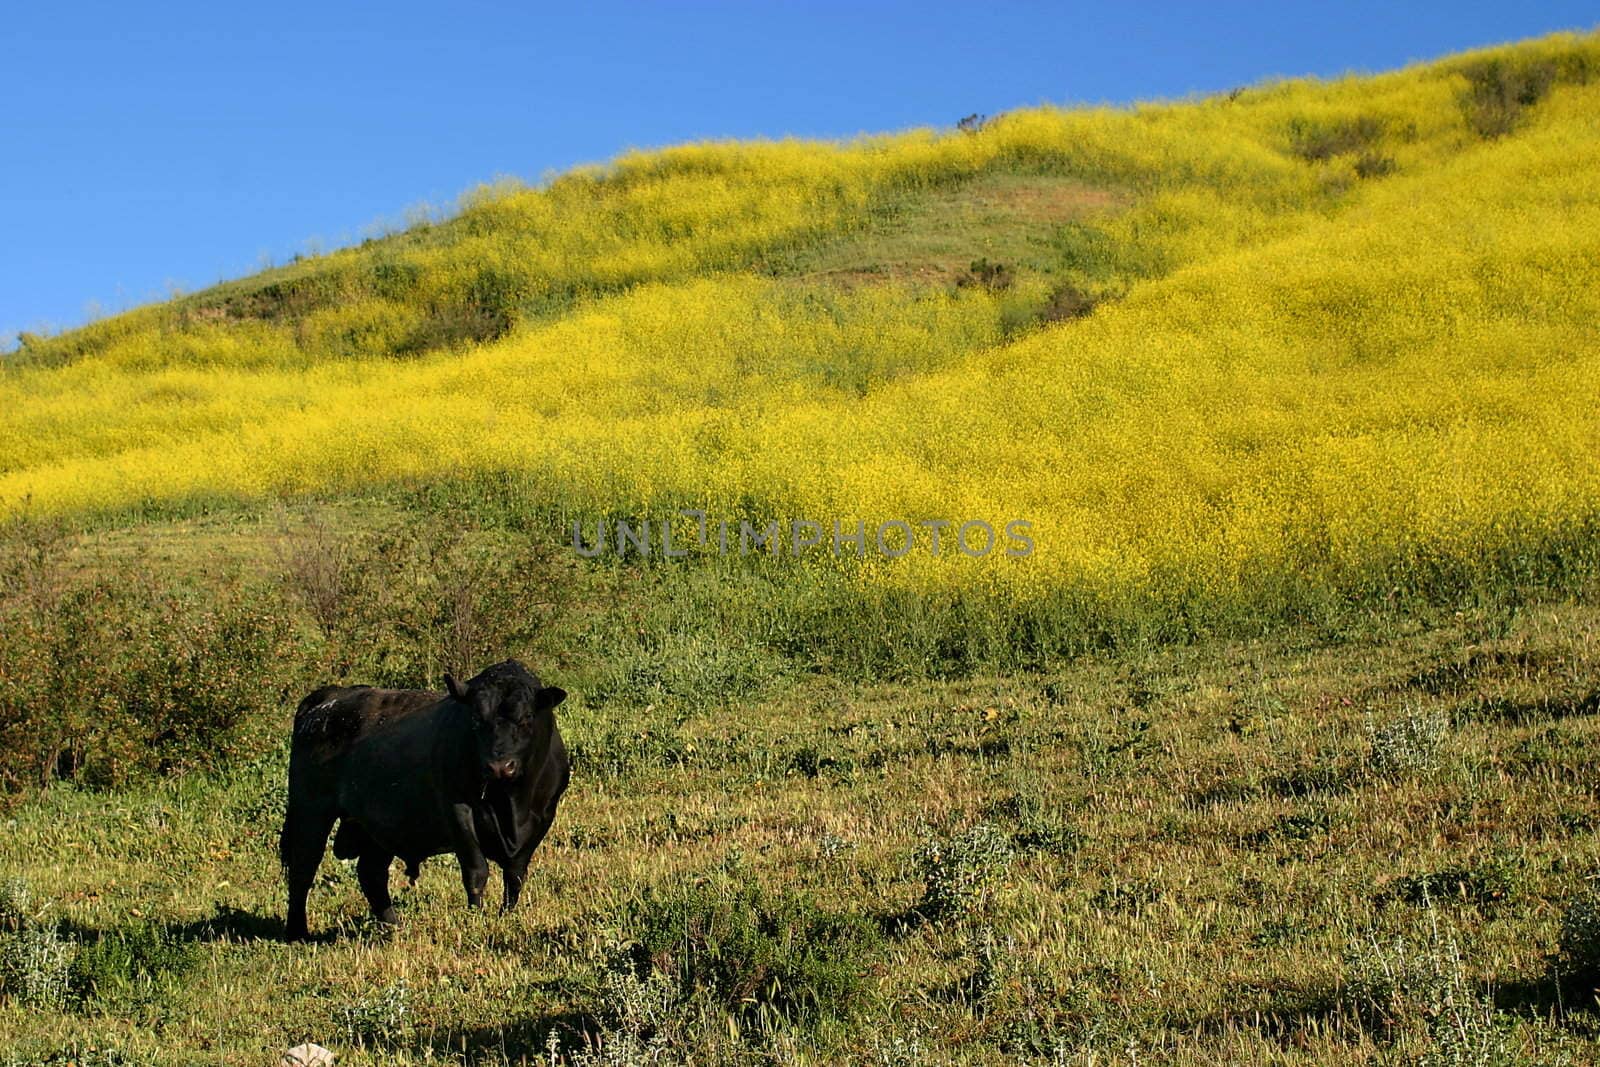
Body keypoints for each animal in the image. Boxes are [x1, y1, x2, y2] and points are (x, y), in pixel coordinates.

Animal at [280, 659, 569, 940]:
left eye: (527, 717)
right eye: (475, 719)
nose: (499, 766)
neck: (510, 804)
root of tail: (332, 696)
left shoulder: (543, 817)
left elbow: (515, 875)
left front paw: (506, 916)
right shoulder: (458, 811)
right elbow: (476, 871)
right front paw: (475, 918)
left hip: (377, 825)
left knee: (371, 873)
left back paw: (393, 928)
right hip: (310, 811)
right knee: (303, 868)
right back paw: (297, 932)